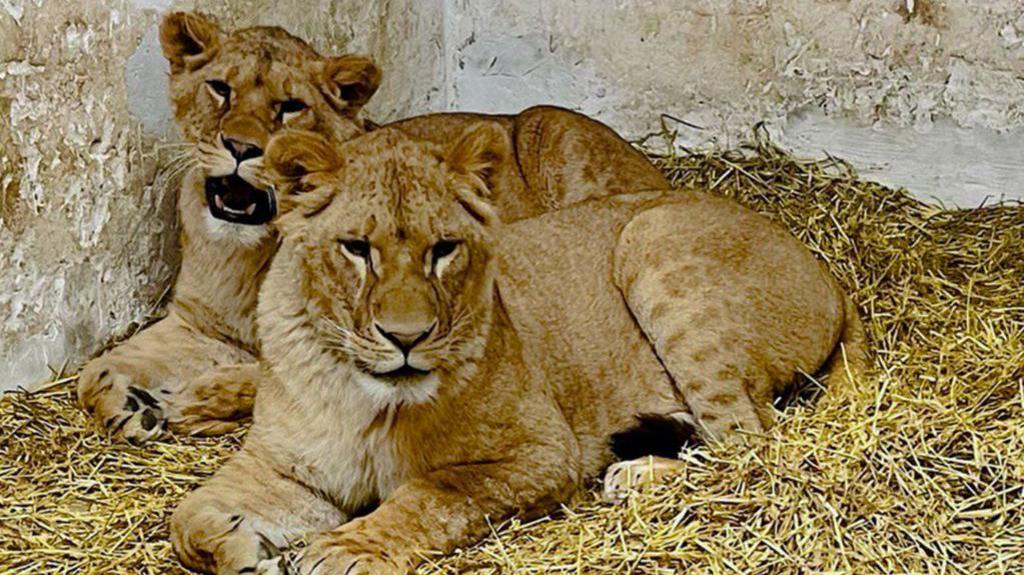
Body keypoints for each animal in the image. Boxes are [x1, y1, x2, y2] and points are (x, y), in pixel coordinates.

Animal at [75, 12, 667, 444]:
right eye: (220, 89)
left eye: (290, 107)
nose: (241, 148)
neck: (245, 255)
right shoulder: (197, 324)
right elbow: (94, 370)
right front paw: (128, 406)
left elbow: (274, 374)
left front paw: (188, 401)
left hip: (550, 127)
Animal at [167, 125, 864, 572]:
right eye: (356, 249)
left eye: (444, 249)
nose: (406, 338)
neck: (361, 392)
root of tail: (828, 270)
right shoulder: (288, 465)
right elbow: (188, 518)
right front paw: (243, 550)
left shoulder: (543, 454)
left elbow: (432, 495)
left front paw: (348, 549)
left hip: (652, 243)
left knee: (752, 443)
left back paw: (636, 474)